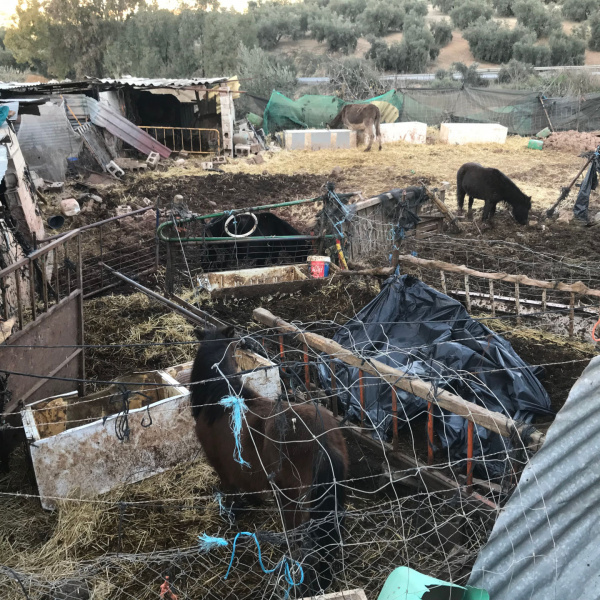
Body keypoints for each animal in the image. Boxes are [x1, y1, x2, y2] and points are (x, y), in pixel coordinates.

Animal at [190, 324, 350, 592]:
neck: (220, 397)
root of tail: (322, 440)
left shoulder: (223, 469)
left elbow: (231, 493)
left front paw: (233, 514)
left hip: (291, 500)